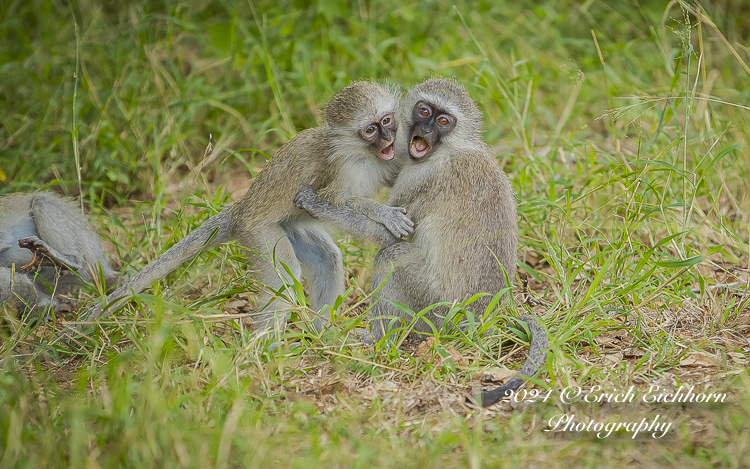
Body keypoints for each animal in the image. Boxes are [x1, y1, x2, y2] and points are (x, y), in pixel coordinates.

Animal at [83, 82, 418, 334]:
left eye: (387, 121)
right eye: (370, 130)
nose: (387, 137)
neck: (364, 154)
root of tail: (242, 209)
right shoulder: (343, 171)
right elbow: (330, 203)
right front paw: (385, 219)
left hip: (287, 229)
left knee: (327, 259)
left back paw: (323, 336)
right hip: (259, 233)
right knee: (285, 277)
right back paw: (265, 351)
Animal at [296, 77, 548, 406]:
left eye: (443, 121)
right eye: (424, 111)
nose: (425, 130)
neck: (451, 149)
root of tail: (480, 318)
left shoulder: (424, 177)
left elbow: (390, 236)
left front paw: (316, 204)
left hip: (436, 307)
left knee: (392, 257)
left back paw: (377, 338)